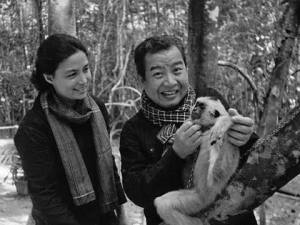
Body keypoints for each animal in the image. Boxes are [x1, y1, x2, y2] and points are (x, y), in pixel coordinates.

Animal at [154, 96, 240, 225]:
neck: (206, 128)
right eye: (196, 103)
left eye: (201, 106)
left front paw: (227, 121)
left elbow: (216, 174)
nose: (194, 108)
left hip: (201, 199)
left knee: (163, 204)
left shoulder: (216, 137)